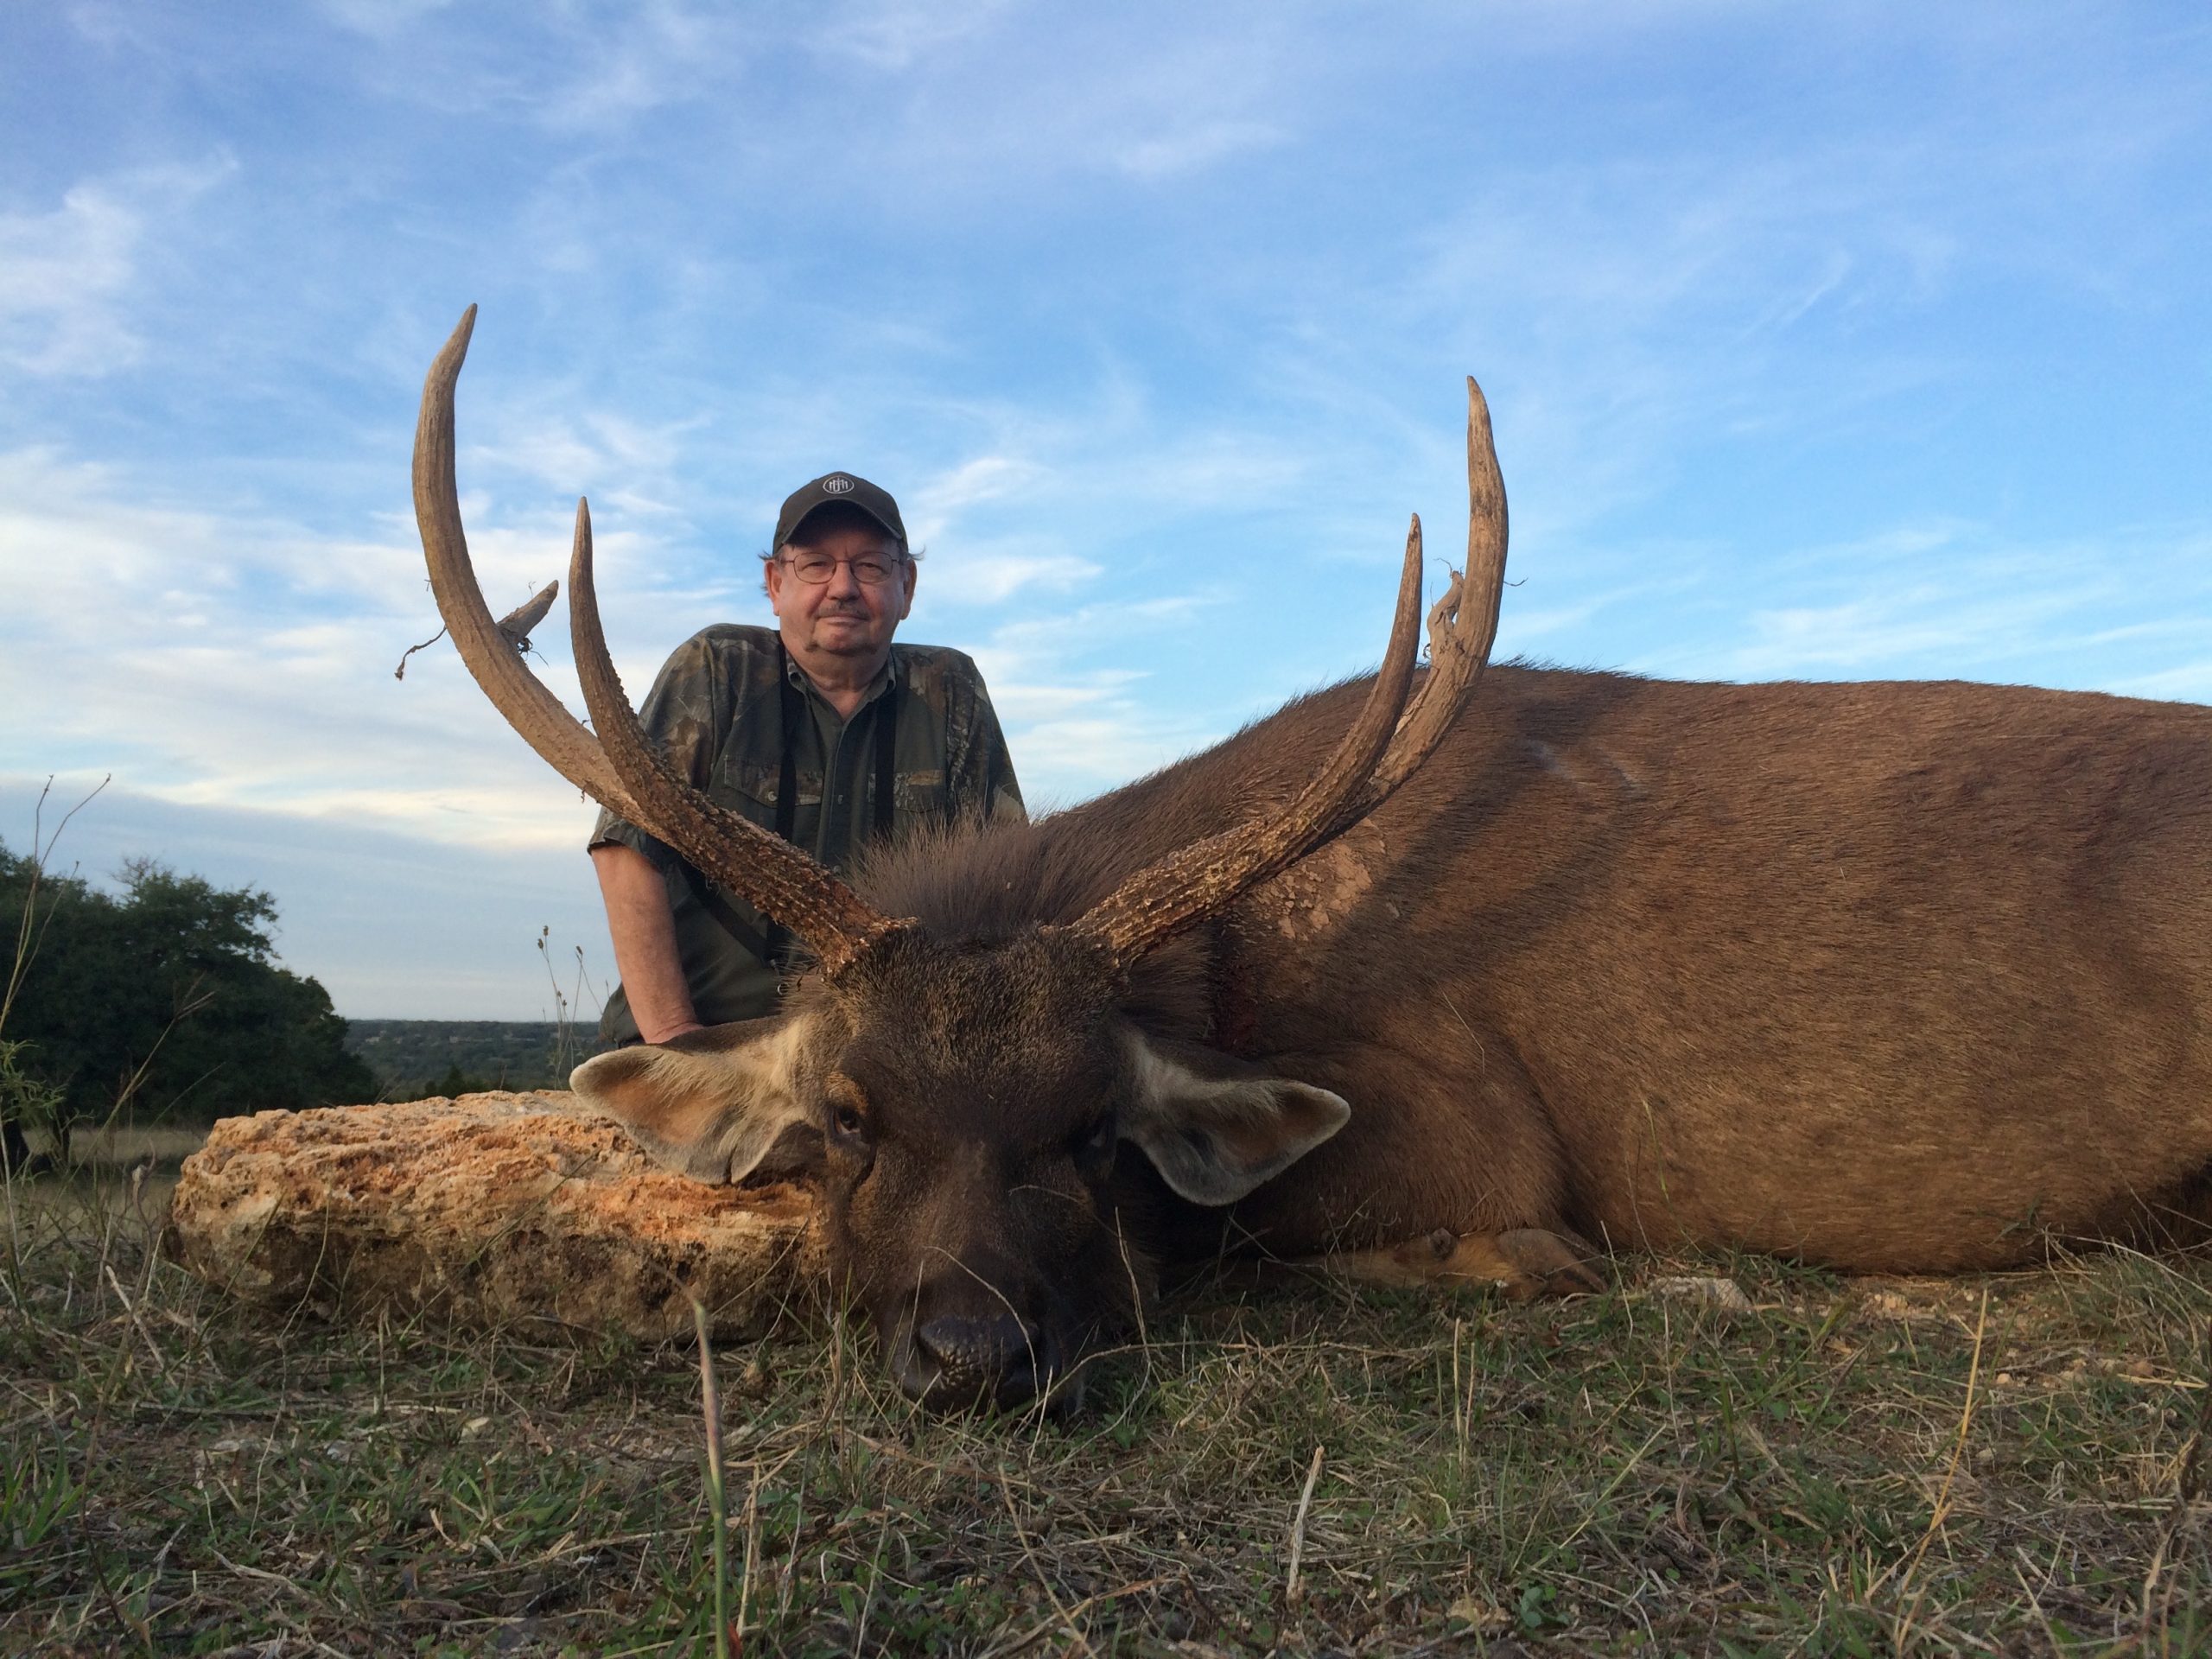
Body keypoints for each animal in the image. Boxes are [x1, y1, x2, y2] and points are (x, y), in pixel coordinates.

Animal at [415, 307, 2212, 1411]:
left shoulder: (1475, 1117)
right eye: (851, 1118)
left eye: (1095, 1130)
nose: (973, 1356)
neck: (1230, 971)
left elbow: (1340, 1230)